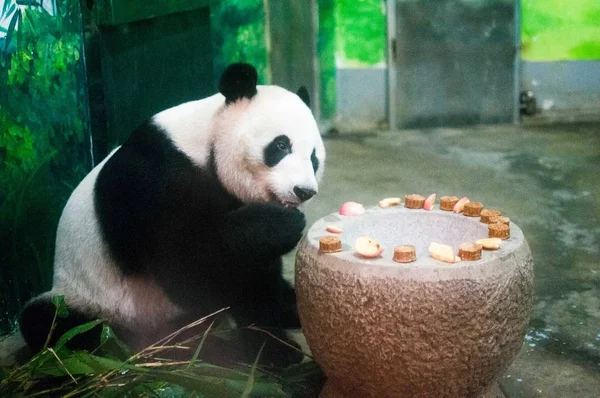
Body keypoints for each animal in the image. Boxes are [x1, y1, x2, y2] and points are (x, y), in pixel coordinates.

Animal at [18, 63, 326, 366]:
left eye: (314, 158)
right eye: (281, 146)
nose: (304, 191)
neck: (205, 141)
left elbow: (252, 274)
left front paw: (286, 316)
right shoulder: (153, 178)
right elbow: (184, 266)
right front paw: (279, 225)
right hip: (87, 298)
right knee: (53, 322)